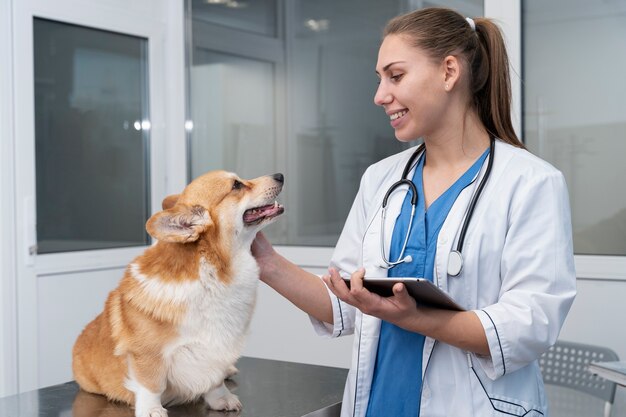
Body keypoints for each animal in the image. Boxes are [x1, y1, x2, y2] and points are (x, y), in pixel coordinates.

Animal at [73, 170, 286, 416]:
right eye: (236, 185)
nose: (280, 175)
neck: (215, 271)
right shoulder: (147, 355)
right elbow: (151, 384)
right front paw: (152, 410)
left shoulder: (217, 349)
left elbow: (215, 378)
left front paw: (222, 399)